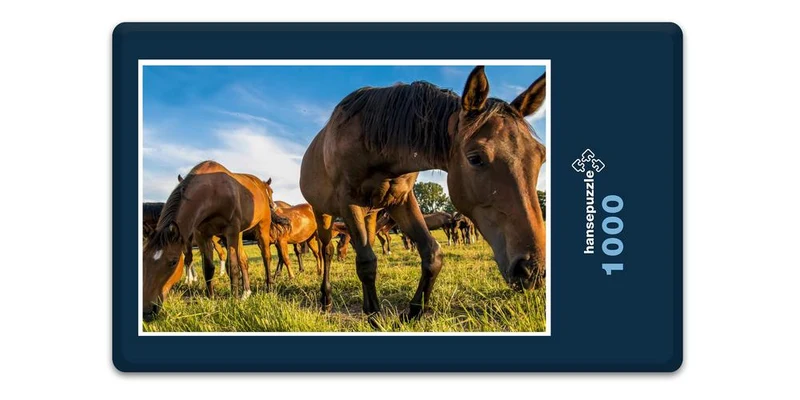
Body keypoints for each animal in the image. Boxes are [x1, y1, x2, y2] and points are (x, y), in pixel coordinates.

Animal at [142, 160, 278, 321]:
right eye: (143, 259)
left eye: (173, 262)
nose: (147, 311)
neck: (213, 192)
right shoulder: (202, 235)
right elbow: (208, 268)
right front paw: (211, 298)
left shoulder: (230, 231)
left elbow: (232, 267)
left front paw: (234, 300)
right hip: (238, 234)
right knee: (244, 260)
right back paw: (246, 292)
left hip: (262, 227)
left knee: (266, 256)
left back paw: (269, 288)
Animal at [299, 66, 547, 322]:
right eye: (475, 158)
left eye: (541, 156)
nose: (532, 270)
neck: (371, 141)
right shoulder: (349, 203)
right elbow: (367, 263)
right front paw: (375, 317)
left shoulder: (401, 200)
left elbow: (432, 254)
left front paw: (412, 311)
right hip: (323, 213)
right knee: (327, 251)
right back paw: (326, 299)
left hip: (370, 214)